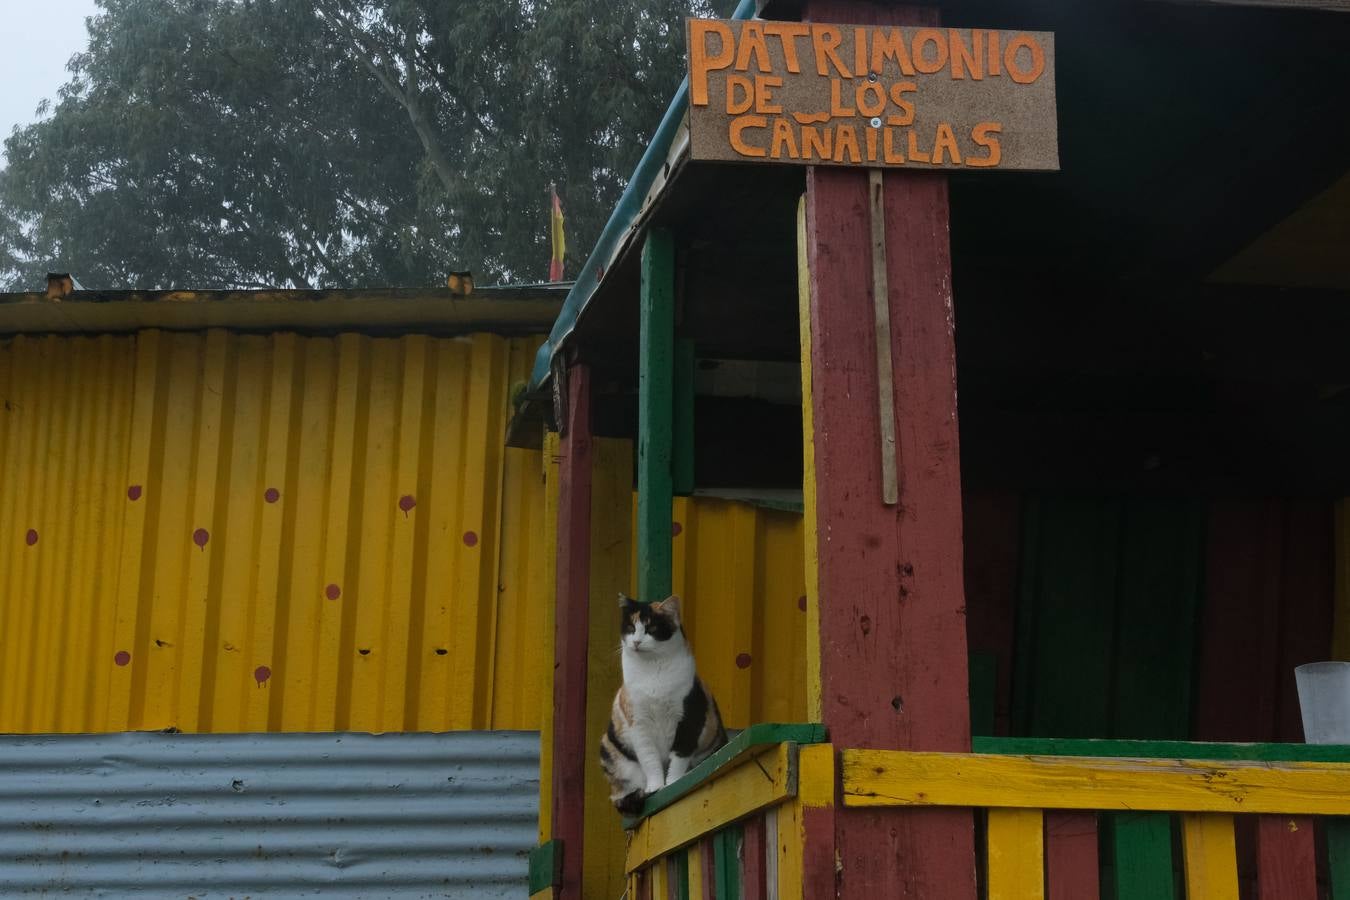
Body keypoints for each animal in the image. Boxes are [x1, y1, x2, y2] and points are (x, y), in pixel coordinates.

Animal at [602, 593, 729, 820]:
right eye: (631, 627)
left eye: (651, 628)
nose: (636, 642)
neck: (653, 669)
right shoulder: (638, 723)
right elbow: (649, 758)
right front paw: (655, 787)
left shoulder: (689, 717)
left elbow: (678, 757)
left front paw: (672, 784)